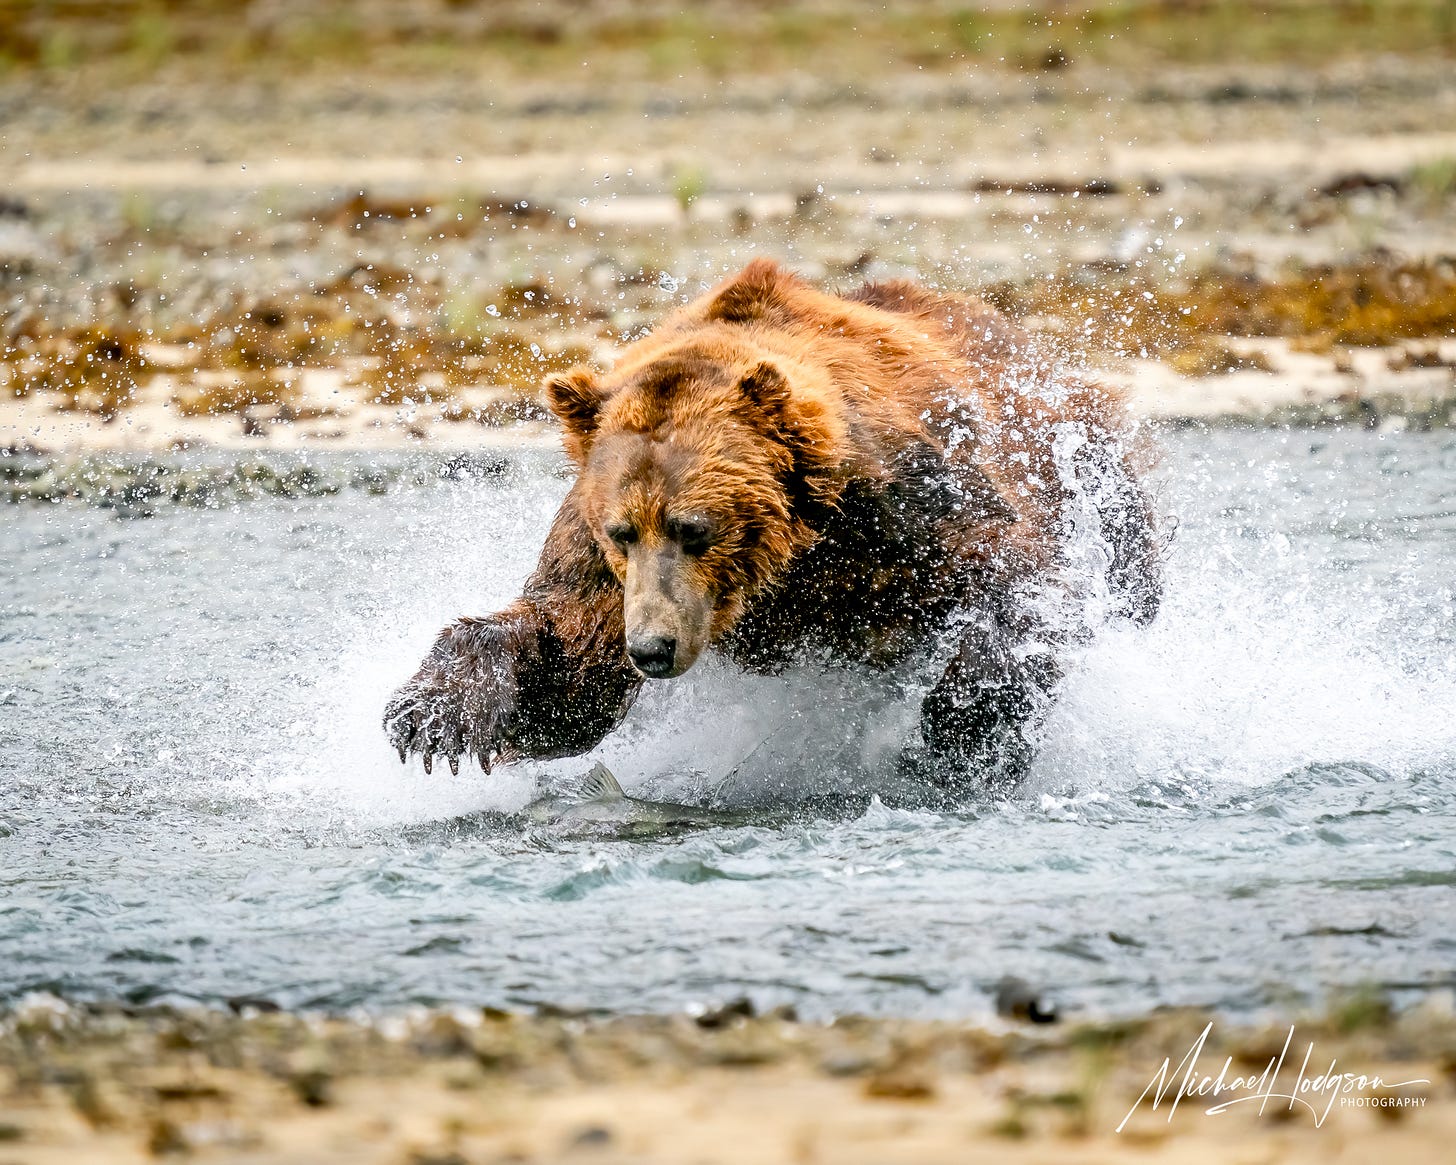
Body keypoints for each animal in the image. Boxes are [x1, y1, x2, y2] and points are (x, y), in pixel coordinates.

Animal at [387, 260, 1158, 798]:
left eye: (695, 528)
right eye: (622, 532)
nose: (652, 648)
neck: (789, 566)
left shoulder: (907, 502)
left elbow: (1021, 582)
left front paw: (953, 740)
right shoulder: (601, 560)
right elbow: (569, 669)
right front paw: (431, 712)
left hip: (1082, 461)